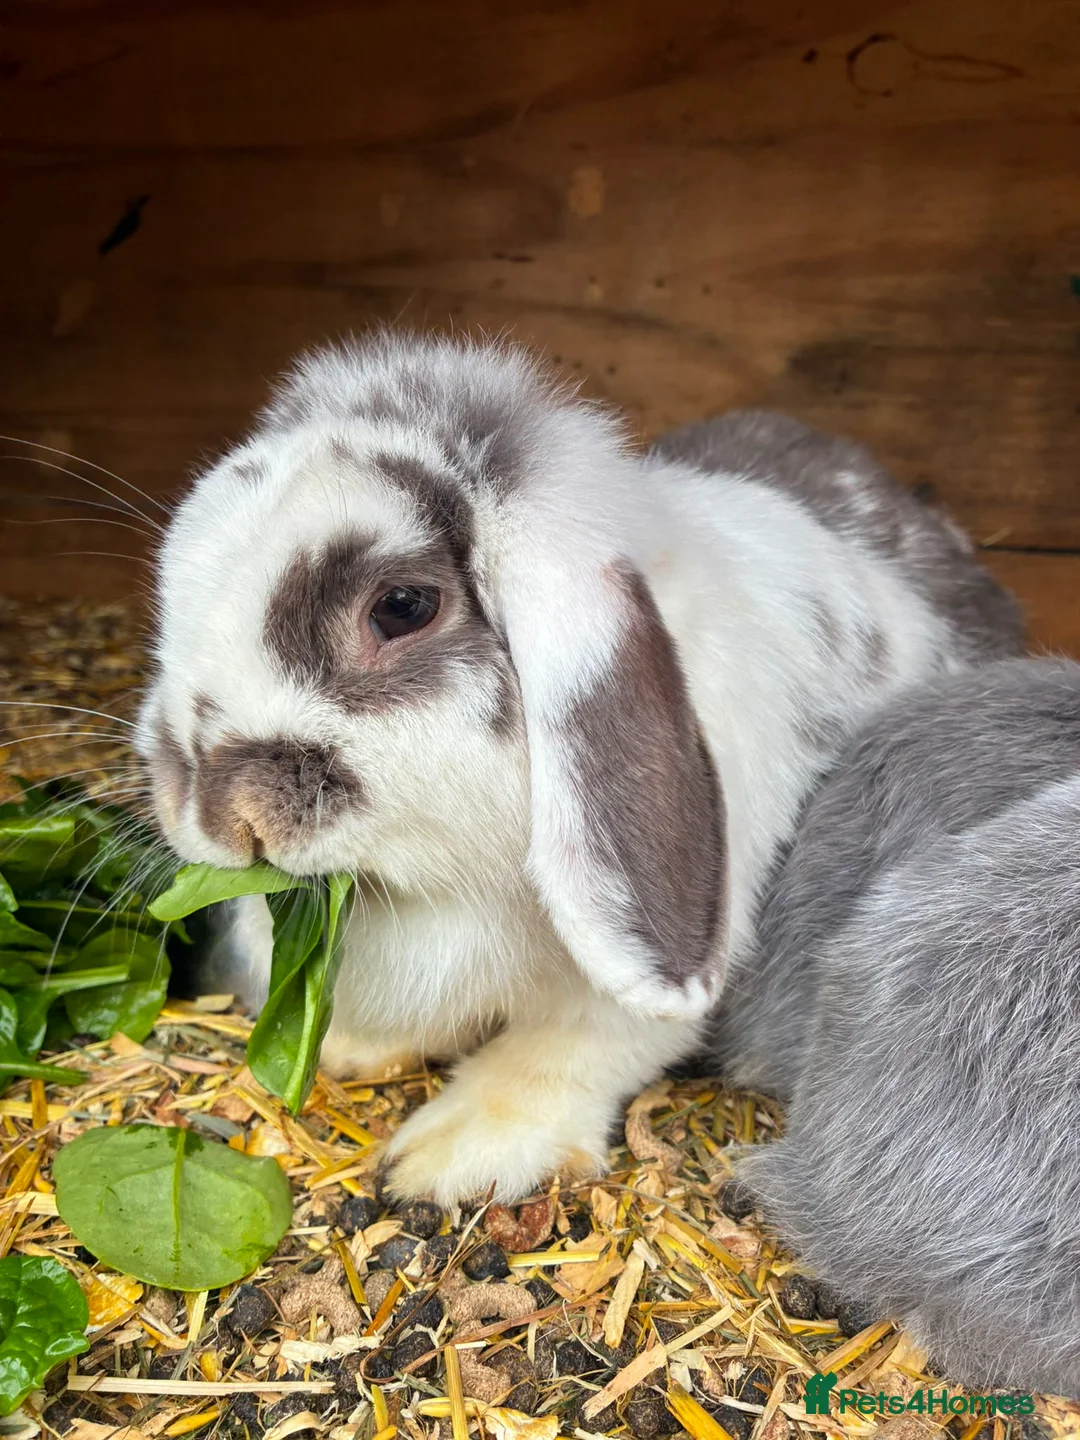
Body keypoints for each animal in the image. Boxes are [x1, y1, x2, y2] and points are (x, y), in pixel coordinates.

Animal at [134, 329, 1024, 1206]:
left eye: (402, 607)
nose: (222, 807)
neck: (444, 887)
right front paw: (353, 1048)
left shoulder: (624, 989)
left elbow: (569, 1048)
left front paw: (457, 1153)